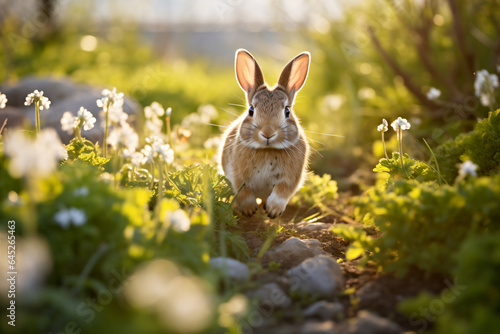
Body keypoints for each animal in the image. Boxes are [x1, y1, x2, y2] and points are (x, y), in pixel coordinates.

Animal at [220, 48, 310, 218]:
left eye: (287, 111)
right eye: (251, 110)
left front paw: (273, 210)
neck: (267, 150)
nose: (268, 133)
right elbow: (243, 190)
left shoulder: (290, 178)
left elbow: (282, 191)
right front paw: (249, 209)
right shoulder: (238, 175)